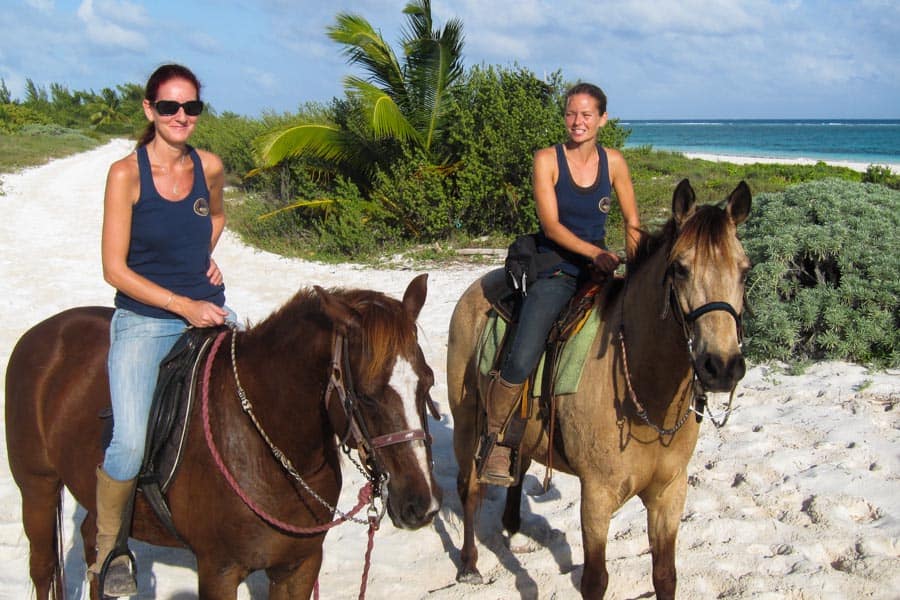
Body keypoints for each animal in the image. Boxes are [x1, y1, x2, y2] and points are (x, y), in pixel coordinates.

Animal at [6, 274, 442, 596]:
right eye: (366, 396)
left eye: (427, 383)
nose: (422, 505)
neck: (268, 446)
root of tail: (43, 333)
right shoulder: (219, 571)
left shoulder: (299, 566)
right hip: (37, 489)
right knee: (43, 569)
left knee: (95, 548)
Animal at [448, 180, 752, 596]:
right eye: (680, 268)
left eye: (744, 271)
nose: (721, 367)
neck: (645, 390)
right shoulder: (596, 496)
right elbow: (595, 580)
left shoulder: (669, 494)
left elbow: (665, 576)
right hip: (467, 419)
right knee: (469, 487)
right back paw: (468, 564)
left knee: (517, 462)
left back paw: (511, 526)